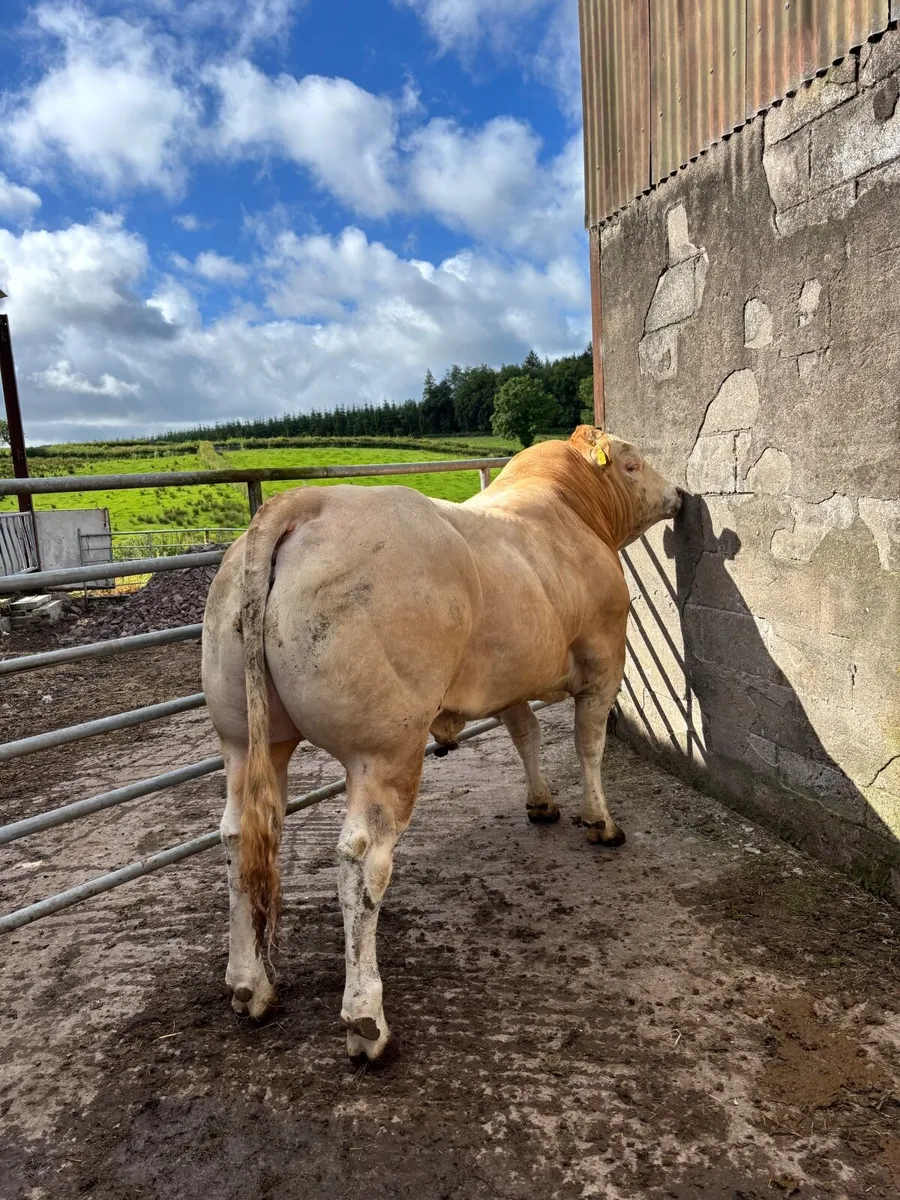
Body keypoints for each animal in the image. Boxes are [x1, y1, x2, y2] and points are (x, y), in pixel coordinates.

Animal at [201, 426, 682, 1062]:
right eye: (631, 464)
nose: (680, 495)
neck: (574, 511)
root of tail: (306, 500)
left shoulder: (507, 677)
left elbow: (526, 735)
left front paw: (542, 803)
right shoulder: (604, 656)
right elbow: (589, 745)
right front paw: (600, 821)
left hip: (242, 736)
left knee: (240, 837)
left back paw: (249, 985)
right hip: (384, 750)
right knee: (360, 862)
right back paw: (367, 1021)